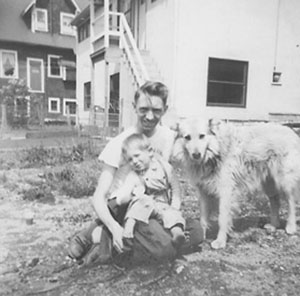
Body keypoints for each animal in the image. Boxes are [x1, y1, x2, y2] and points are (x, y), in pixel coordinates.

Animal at [173, 118, 300, 250]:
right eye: (187, 137)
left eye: (202, 136)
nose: (196, 155)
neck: (216, 150)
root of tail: (291, 131)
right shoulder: (203, 192)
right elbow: (203, 218)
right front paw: (201, 237)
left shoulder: (226, 192)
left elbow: (222, 218)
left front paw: (220, 241)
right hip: (269, 183)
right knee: (275, 201)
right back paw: (273, 225)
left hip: (284, 181)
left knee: (291, 202)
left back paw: (290, 227)